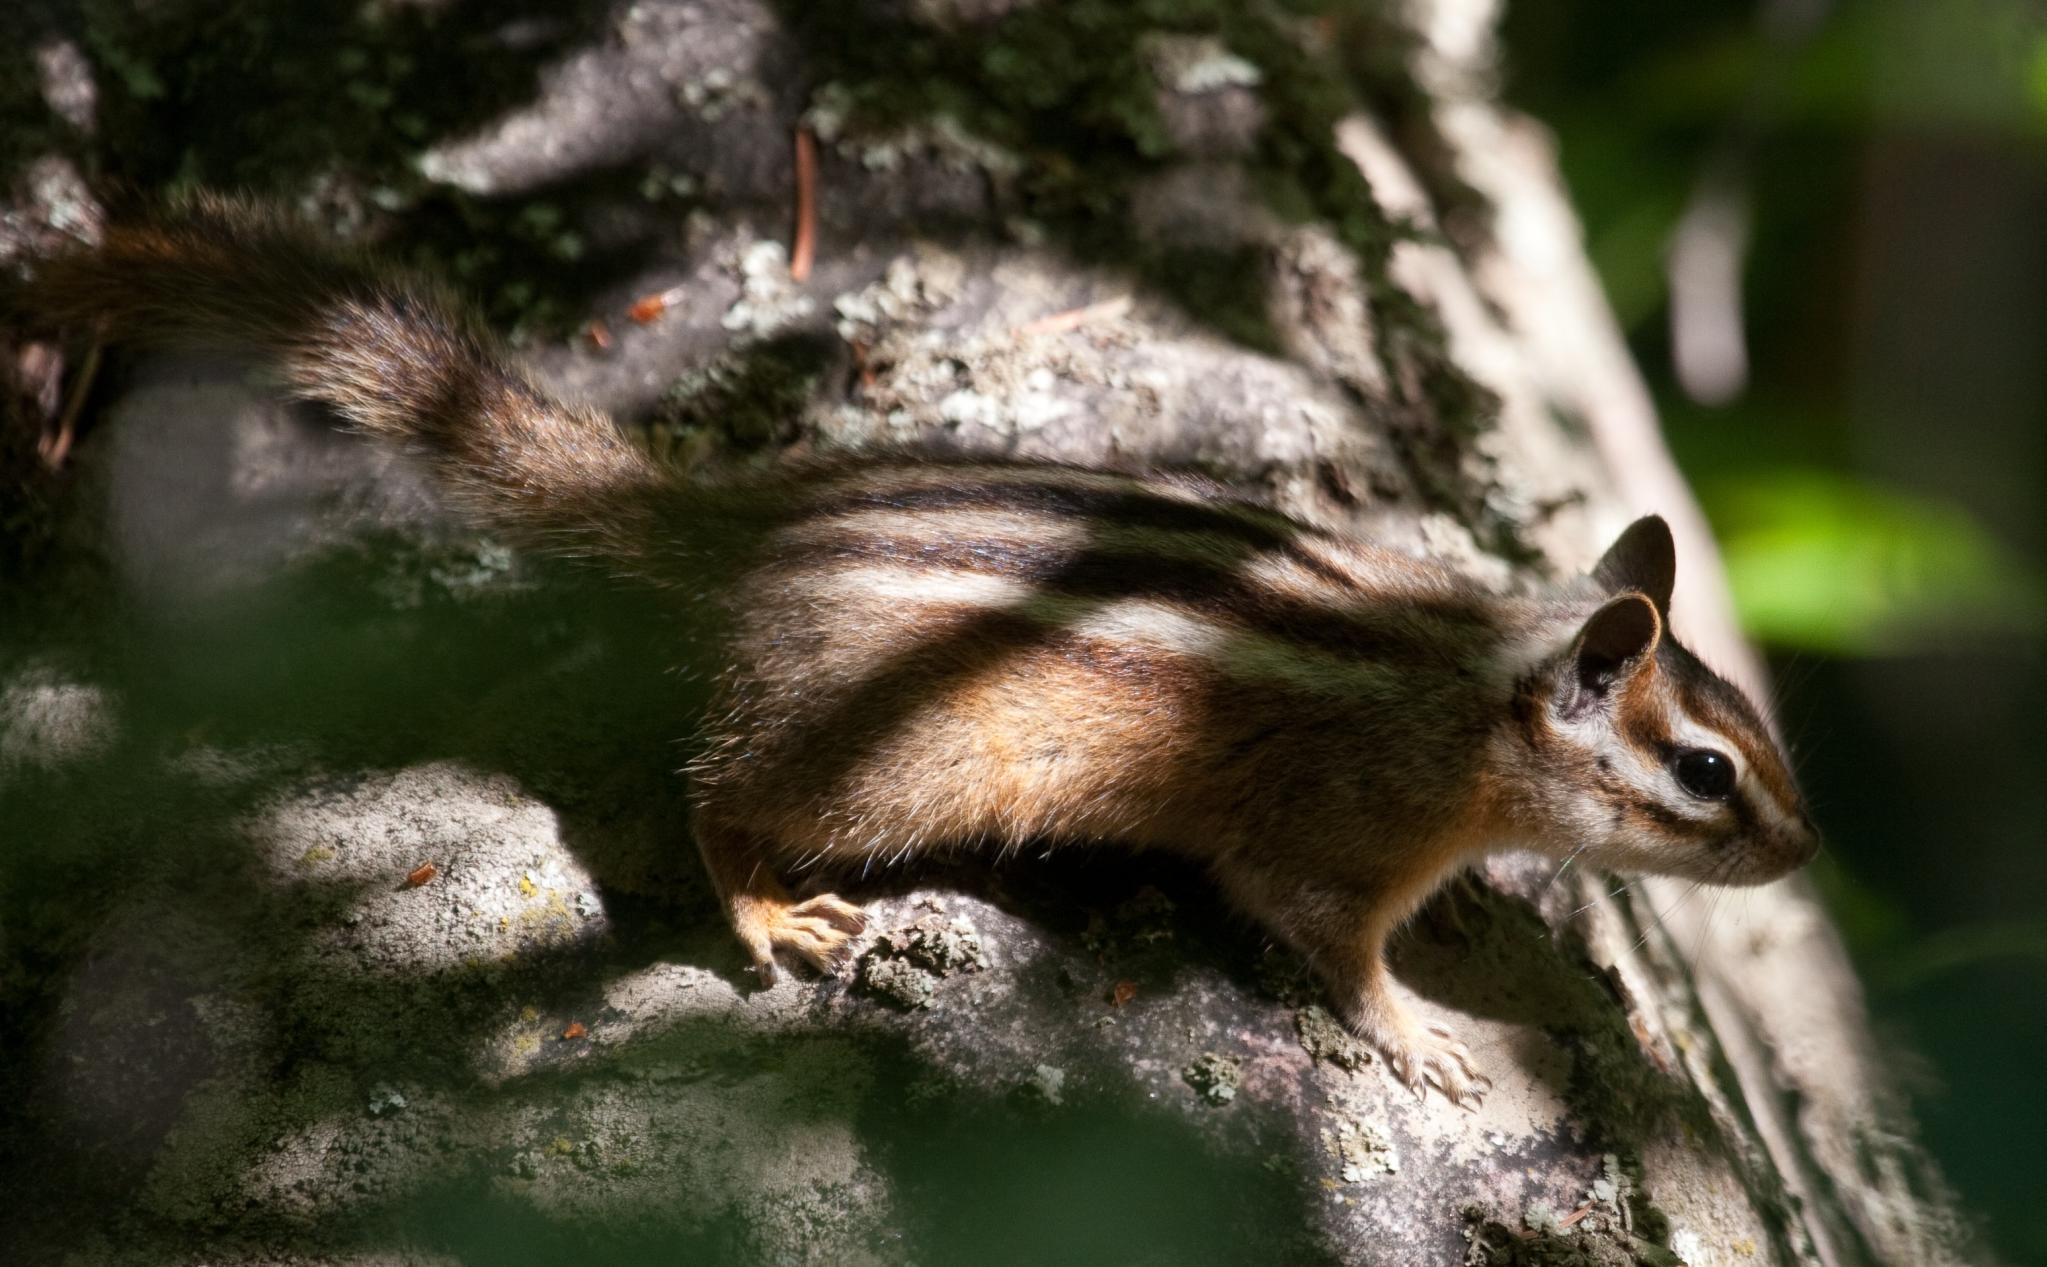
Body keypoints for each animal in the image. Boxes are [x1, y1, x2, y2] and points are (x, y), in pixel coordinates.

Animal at [22, 196, 1819, 1105]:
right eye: (1702, 771)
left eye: (1752, 735)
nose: (1801, 849)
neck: (1465, 696)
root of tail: (736, 530)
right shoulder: (1323, 840)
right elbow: (1327, 937)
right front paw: (1422, 1028)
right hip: (881, 767)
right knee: (714, 795)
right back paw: (765, 908)